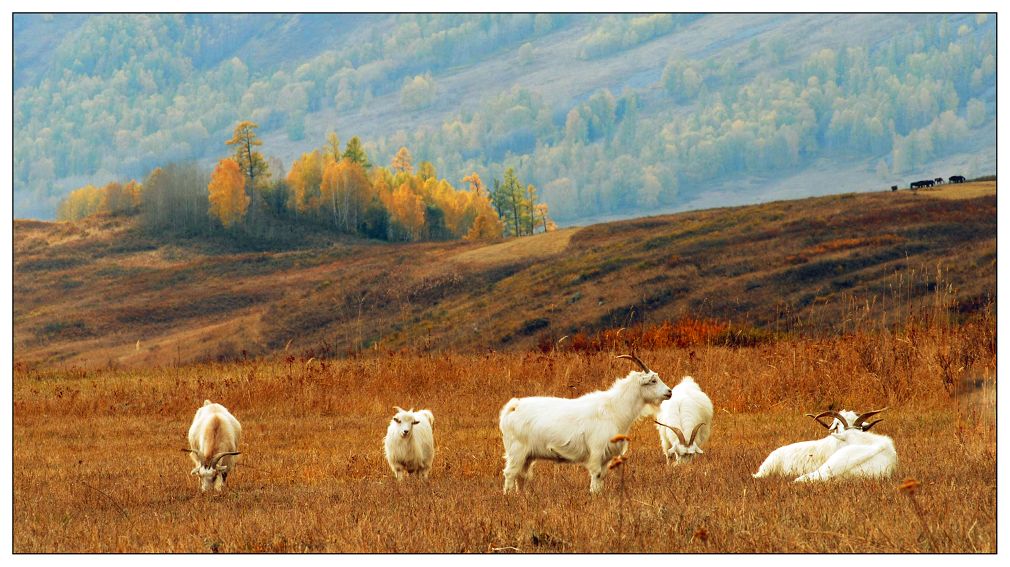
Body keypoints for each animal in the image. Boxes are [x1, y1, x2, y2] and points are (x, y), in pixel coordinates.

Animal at [496, 353, 670, 491]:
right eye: (653, 381)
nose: (669, 392)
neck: (613, 409)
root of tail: (512, 407)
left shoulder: (606, 456)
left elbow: (602, 476)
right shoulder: (597, 451)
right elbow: (596, 474)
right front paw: (594, 495)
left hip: (527, 455)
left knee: (521, 475)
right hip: (516, 450)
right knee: (510, 473)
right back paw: (509, 497)